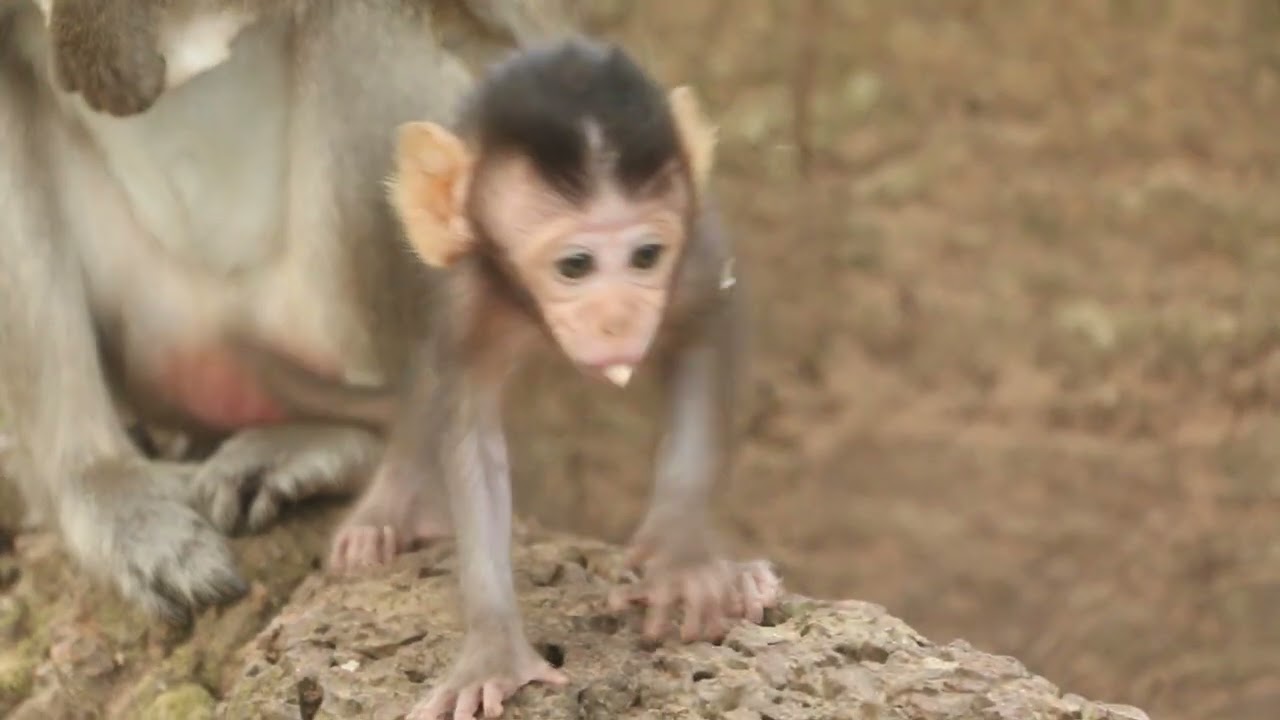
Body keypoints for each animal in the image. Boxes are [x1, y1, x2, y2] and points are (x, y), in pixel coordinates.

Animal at [231, 37, 784, 718]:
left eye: (646, 256)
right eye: (575, 266)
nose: (619, 319)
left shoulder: (697, 261)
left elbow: (709, 333)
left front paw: (683, 557)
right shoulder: (470, 299)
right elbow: (471, 437)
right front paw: (494, 650)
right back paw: (386, 508)